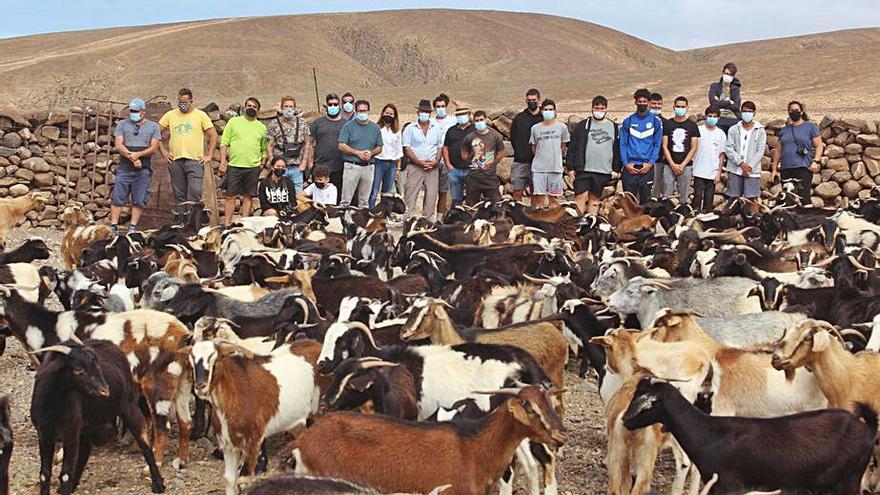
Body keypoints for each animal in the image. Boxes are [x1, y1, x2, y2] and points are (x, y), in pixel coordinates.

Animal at [30, 340, 165, 495]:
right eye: (78, 369)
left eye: (97, 366)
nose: (105, 391)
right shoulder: (44, 434)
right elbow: (44, 474)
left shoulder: (70, 433)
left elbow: (65, 474)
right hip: (86, 426)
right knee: (85, 452)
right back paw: (72, 485)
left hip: (129, 406)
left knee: (145, 445)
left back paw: (158, 484)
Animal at [186, 340, 320, 495]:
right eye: (191, 361)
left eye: (215, 358)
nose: (200, 386)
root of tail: (315, 344)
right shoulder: (228, 445)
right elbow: (230, 480)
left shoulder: (254, 441)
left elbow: (242, 481)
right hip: (296, 424)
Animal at [624, 378, 876, 494]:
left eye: (646, 404)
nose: (625, 420)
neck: (709, 434)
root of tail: (868, 428)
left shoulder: (729, 485)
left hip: (848, 480)